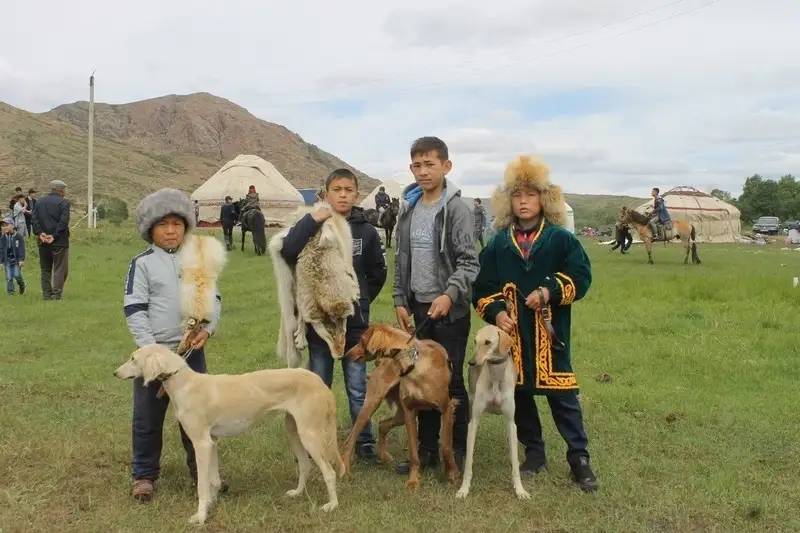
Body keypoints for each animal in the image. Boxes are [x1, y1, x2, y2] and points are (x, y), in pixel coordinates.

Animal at [113, 344, 344, 524]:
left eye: (133, 359)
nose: (115, 373)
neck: (185, 384)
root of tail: (319, 381)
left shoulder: (202, 443)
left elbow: (203, 486)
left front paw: (200, 517)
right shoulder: (212, 442)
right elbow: (213, 481)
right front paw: (211, 505)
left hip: (310, 435)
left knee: (329, 472)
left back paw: (332, 505)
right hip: (294, 432)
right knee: (305, 465)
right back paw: (297, 493)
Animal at [340, 322, 462, 488]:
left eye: (361, 339)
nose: (346, 355)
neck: (414, 365)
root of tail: (380, 362)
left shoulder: (447, 409)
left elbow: (446, 447)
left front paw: (452, 475)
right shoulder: (410, 412)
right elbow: (414, 453)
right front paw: (413, 481)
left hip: (400, 415)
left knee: (382, 425)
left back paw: (383, 456)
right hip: (373, 404)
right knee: (350, 439)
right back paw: (345, 472)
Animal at [456, 324, 532, 498]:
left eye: (488, 342)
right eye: (475, 341)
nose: (472, 362)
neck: (496, 377)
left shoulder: (511, 423)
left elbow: (515, 464)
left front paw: (520, 490)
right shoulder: (474, 421)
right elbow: (468, 462)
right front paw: (464, 489)